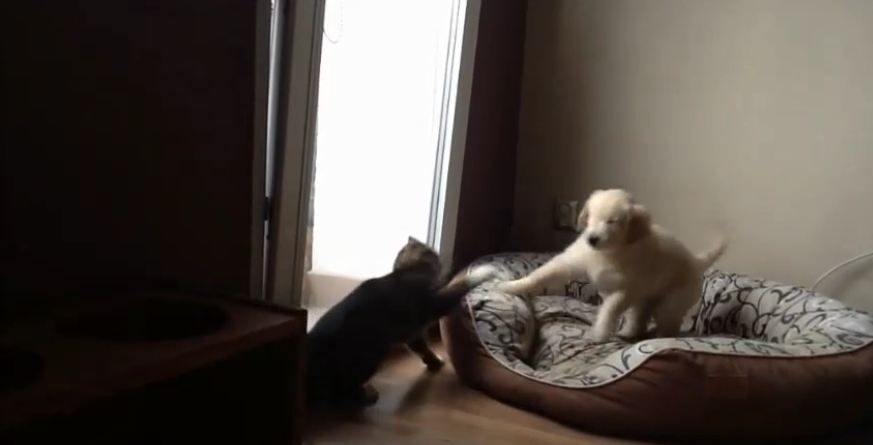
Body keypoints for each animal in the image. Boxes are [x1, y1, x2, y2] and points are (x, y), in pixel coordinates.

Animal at [498, 189, 724, 342]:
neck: (610, 251)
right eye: (591, 217)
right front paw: (511, 286)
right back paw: (629, 333)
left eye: (612, 221)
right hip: (645, 300)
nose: (592, 239)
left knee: (668, 323)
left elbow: (609, 309)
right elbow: (542, 274)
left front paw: (599, 333)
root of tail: (697, 262)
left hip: (671, 301)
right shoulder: (573, 261)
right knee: (639, 318)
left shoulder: (626, 290)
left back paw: (659, 338)